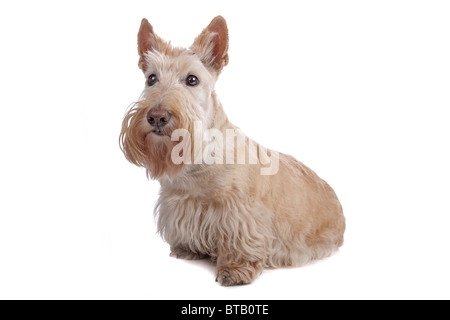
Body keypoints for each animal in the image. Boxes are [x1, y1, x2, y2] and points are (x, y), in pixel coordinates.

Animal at [119, 15, 344, 284]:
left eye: (192, 79)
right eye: (151, 78)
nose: (156, 117)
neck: (196, 164)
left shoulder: (239, 213)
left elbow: (240, 242)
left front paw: (235, 270)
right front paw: (186, 248)